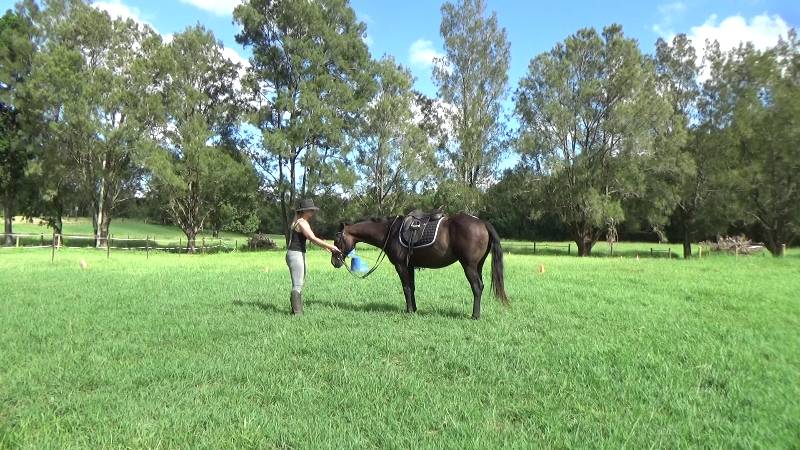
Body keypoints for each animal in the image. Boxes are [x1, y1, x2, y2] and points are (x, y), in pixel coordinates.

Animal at [330, 213, 506, 318]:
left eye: (337, 239)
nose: (334, 261)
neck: (390, 232)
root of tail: (482, 223)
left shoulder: (401, 266)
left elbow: (406, 288)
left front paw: (409, 311)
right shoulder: (410, 266)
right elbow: (412, 287)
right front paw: (414, 309)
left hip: (469, 266)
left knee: (477, 287)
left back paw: (475, 315)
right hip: (478, 266)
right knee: (480, 286)